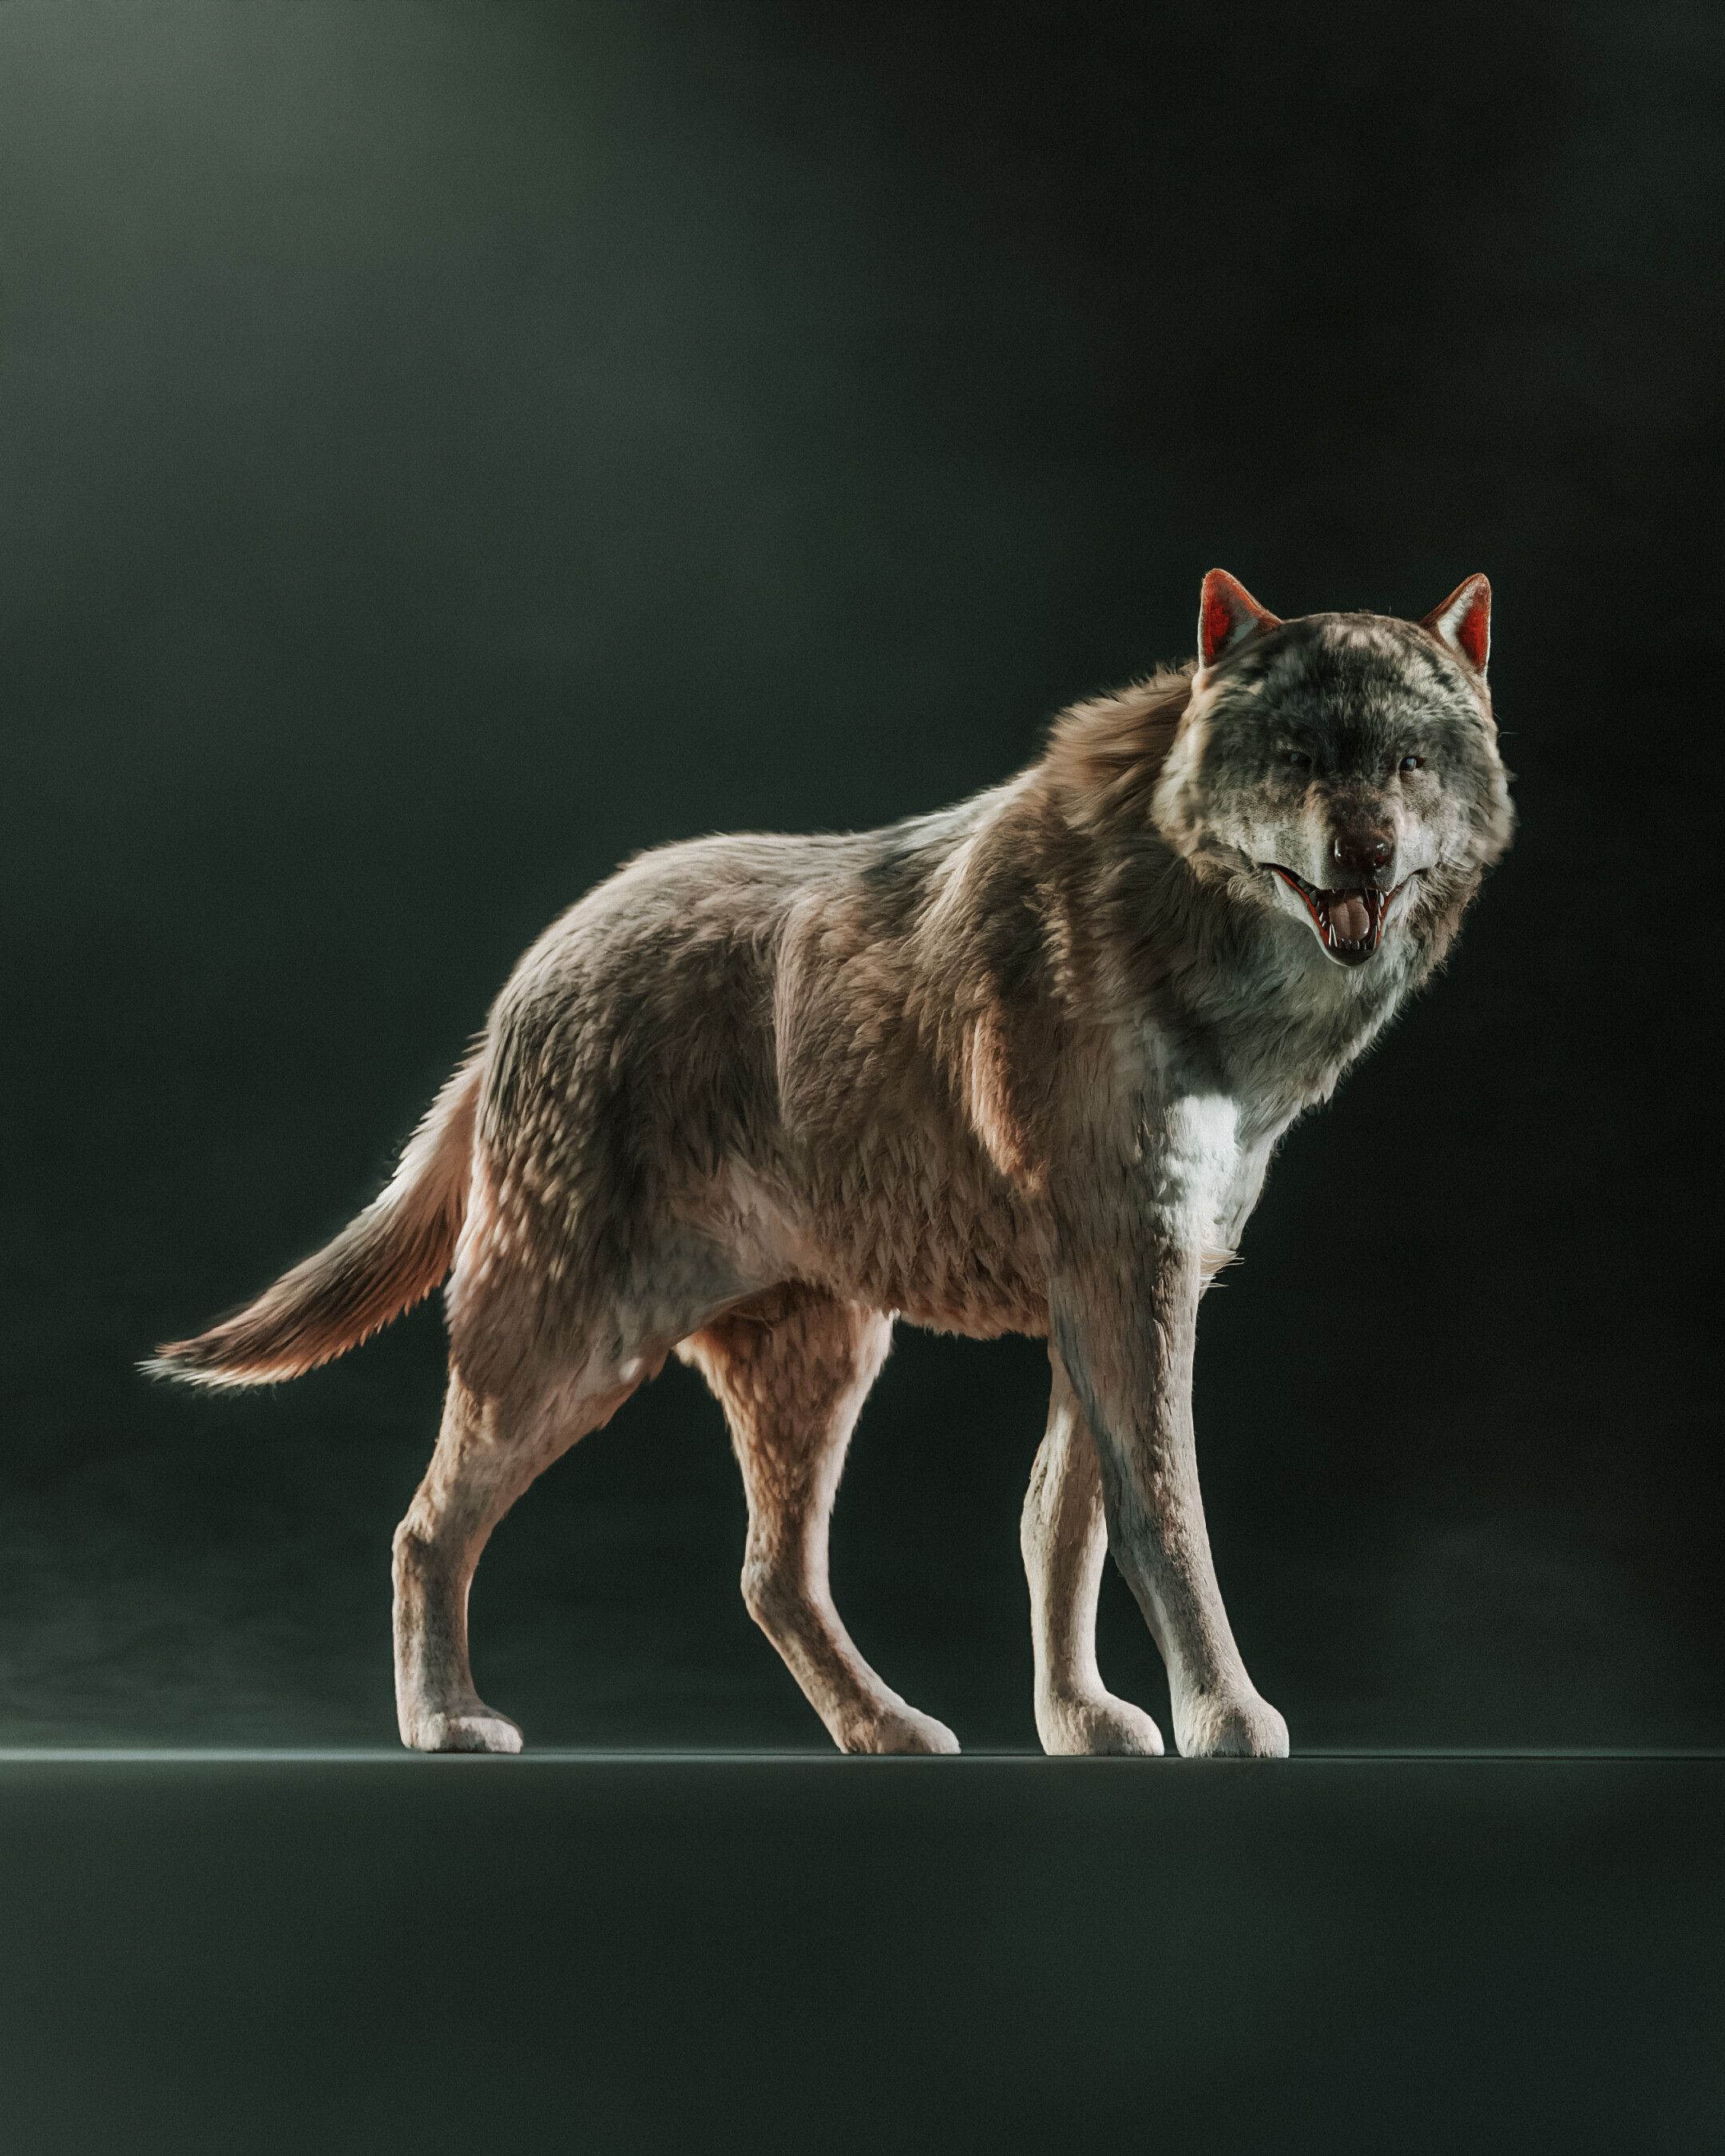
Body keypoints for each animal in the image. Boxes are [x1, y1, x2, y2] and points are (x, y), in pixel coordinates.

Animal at [151, 570, 1513, 1759]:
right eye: (1297, 759)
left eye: (1407, 763)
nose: (1365, 850)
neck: (1200, 954)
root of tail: (529, 976)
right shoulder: (1129, 1282)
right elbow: (1161, 1518)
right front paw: (1225, 1719)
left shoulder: (1121, 1287)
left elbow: (1060, 1523)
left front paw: (1079, 1723)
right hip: (575, 1346)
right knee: (427, 1528)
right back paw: (446, 1724)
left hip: (820, 1359)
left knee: (768, 1575)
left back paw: (886, 1730)